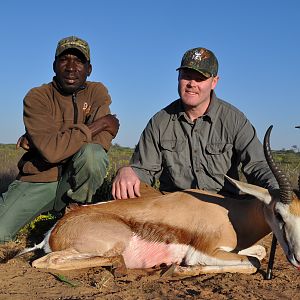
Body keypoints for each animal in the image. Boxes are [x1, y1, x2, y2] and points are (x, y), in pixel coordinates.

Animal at [21, 126, 300, 276]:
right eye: (278, 214)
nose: (298, 258)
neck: (230, 214)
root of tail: (53, 231)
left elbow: (259, 253)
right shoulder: (204, 252)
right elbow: (253, 263)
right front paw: (182, 270)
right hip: (112, 242)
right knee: (45, 261)